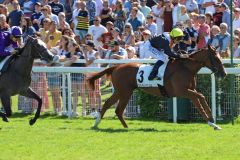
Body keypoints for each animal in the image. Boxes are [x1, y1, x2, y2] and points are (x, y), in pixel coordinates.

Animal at [88, 45, 227, 130]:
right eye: (215, 58)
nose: (224, 73)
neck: (186, 68)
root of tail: (116, 67)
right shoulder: (183, 91)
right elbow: (201, 97)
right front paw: (212, 120)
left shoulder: (190, 91)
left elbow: (200, 101)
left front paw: (213, 122)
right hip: (125, 92)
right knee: (117, 109)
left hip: (121, 91)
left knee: (109, 104)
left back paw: (98, 124)